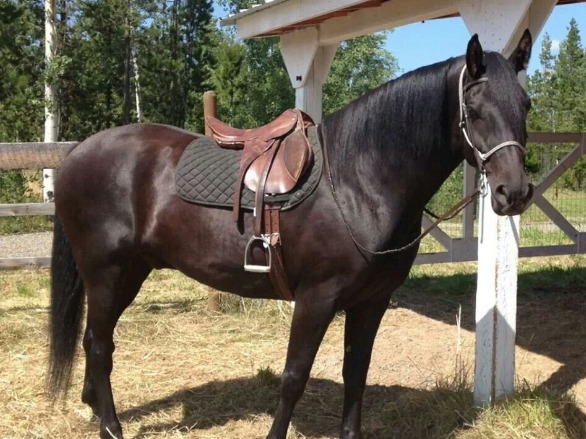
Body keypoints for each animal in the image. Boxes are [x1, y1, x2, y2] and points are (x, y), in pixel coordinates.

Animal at [49, 31, 532, 439]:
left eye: (525, 104)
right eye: (474, 110)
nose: (514, 192)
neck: (357, 181)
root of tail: (76, 154)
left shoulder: (372, 301)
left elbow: (356, 374)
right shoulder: (315, 299)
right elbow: (293, 377)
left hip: (129, 273)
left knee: (97, 342)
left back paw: (94, 408)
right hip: (107, 274)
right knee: (98, 345)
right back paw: (110, 427)